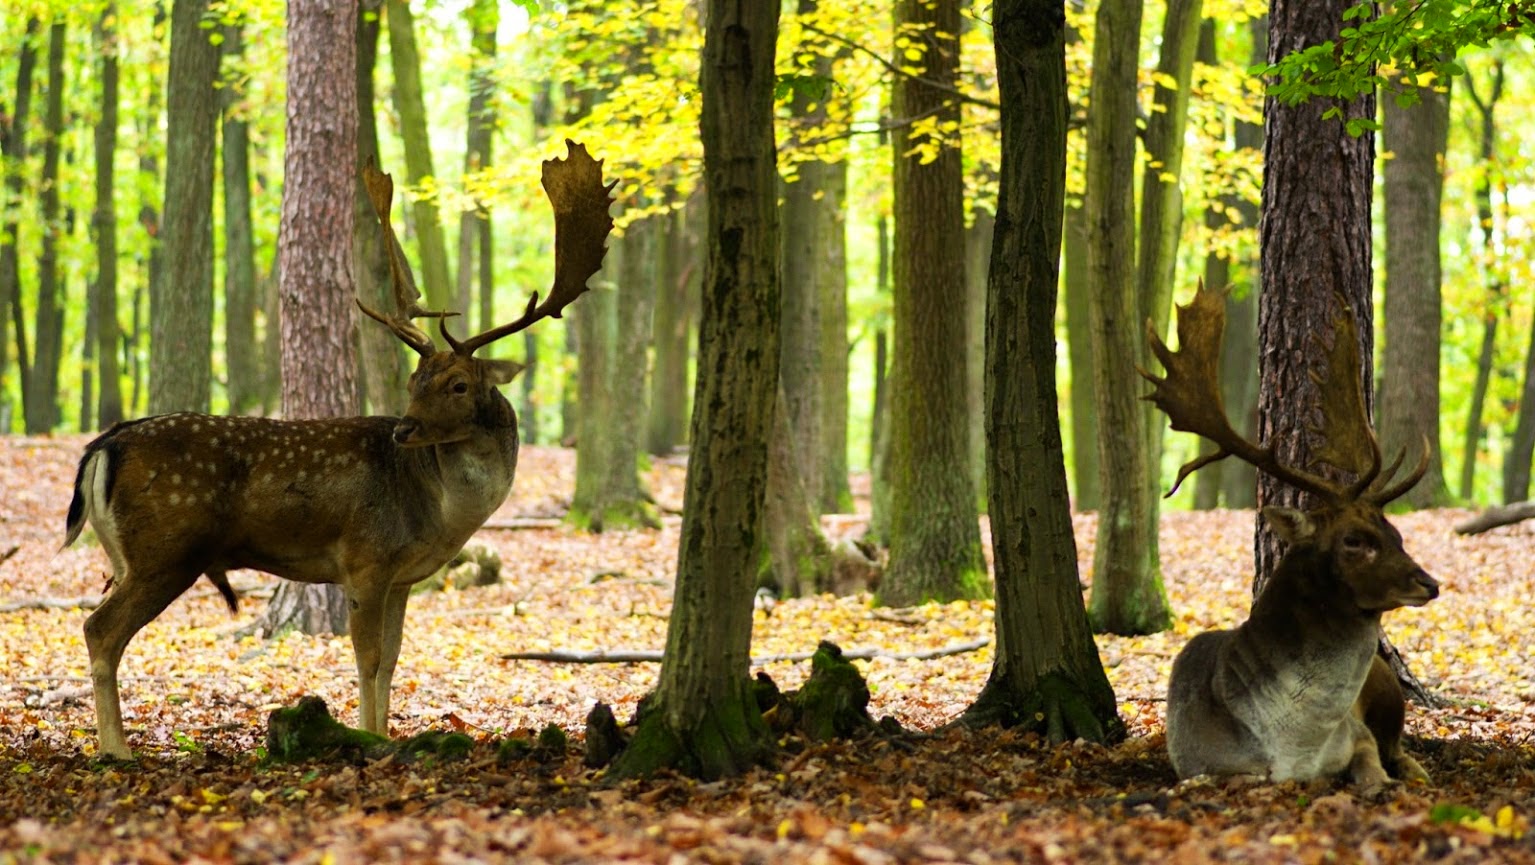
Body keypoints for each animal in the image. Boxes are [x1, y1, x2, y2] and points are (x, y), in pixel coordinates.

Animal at [64, 140, 617, 757]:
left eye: (457, 385)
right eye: (414, 380)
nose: (404, 429)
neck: (440, 515)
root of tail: (104, 445)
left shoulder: (401, 577)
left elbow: (392, 661)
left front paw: (380, 733)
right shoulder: (365, 558)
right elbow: (368, 659)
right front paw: (371, 740)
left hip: (125, 556)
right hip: (166, 548)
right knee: (99, 629)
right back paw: (115, 749)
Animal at [1142, 283, 1436, 797]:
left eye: (1395, 533)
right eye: (1353, 540)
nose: (1430, 583)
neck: (1295, 743)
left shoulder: (1356, 734)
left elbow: (1370, 763)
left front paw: (1378, 783)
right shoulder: (1199, 762)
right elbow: (1236, 779)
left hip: (1389, 693)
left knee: (1399, 744)